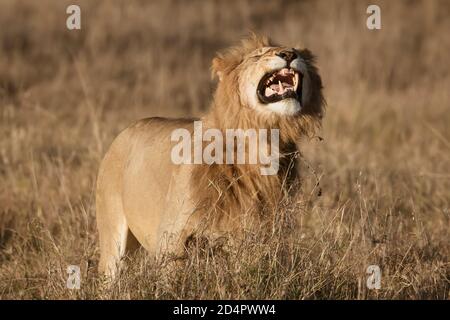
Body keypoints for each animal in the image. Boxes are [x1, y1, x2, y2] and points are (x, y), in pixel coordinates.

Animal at [96, 34, 326, 276]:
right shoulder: (173, 236)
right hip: (112, 238)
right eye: (257, 56)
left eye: (297, 53)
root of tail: (126, 129)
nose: (289, 54)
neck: (264, 139)